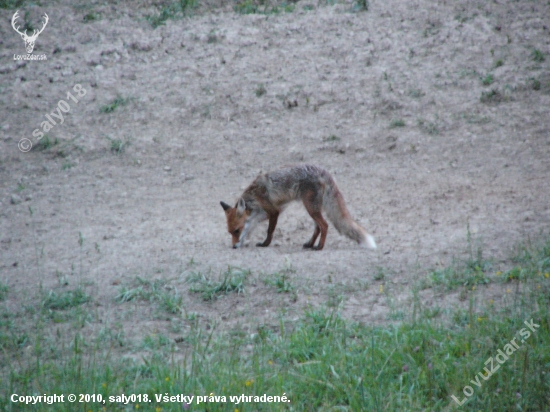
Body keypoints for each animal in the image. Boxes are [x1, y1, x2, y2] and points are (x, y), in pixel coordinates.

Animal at [222, 165, 378, 251]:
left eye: (236, 230)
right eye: (230, 232)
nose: (233, 247)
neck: (254, 198)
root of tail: (323, 171)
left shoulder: (273, 211)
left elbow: (269, 231)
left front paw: (265, 244)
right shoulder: (258, 217)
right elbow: (249, 230)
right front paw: (243, 242)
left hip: (310, 208)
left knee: (325, 225)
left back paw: (319, 247)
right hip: (312, 208)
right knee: (318, 228)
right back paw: (310, 244)